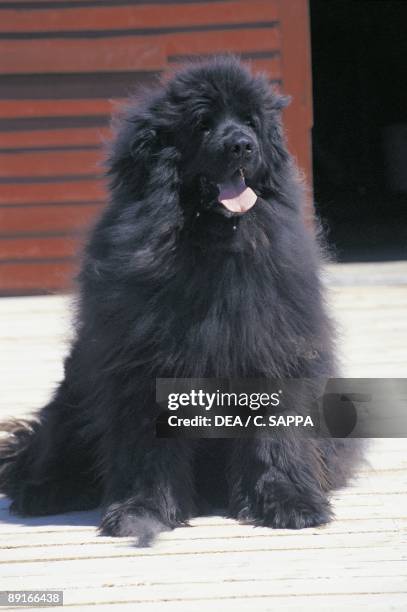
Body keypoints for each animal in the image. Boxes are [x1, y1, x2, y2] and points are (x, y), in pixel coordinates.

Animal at [0, 56, 364, 544]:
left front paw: (290, 503)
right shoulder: (142, 369)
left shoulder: (272, 351)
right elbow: (145, 450)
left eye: (251, 122)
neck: (213, 243)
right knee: (44, 449)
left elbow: (276, 437)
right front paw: (142, 512)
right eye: (202, 124)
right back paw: (43, 490)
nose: (243, 145)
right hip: (69, 401)